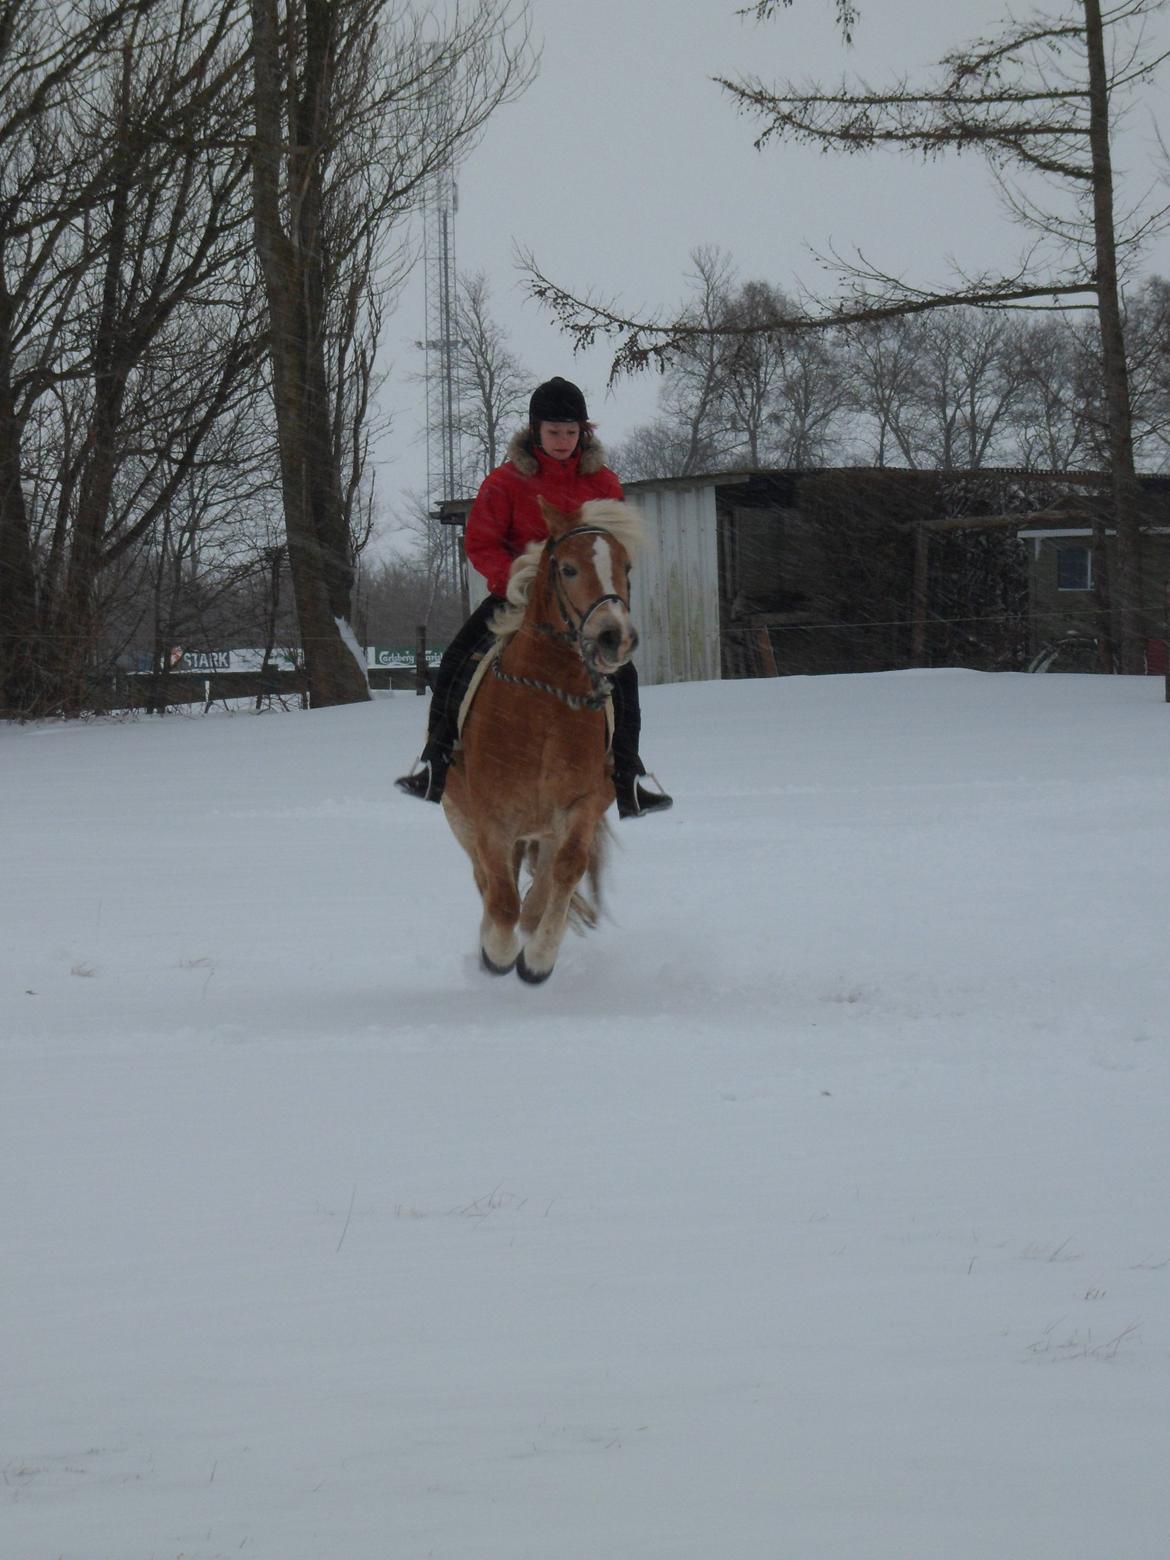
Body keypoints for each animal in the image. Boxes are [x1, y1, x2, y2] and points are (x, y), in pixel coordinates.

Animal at [443, 496, 645, 985]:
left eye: (626, 567)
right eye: (568, 569)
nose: (615, 637)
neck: (545, 702)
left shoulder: (579, 808)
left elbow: (563, 874)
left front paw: (537, 959)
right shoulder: (491, 818)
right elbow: (499, 898)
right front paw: (496, 952)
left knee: (540, 886)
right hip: (462, 819)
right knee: (487, 881)